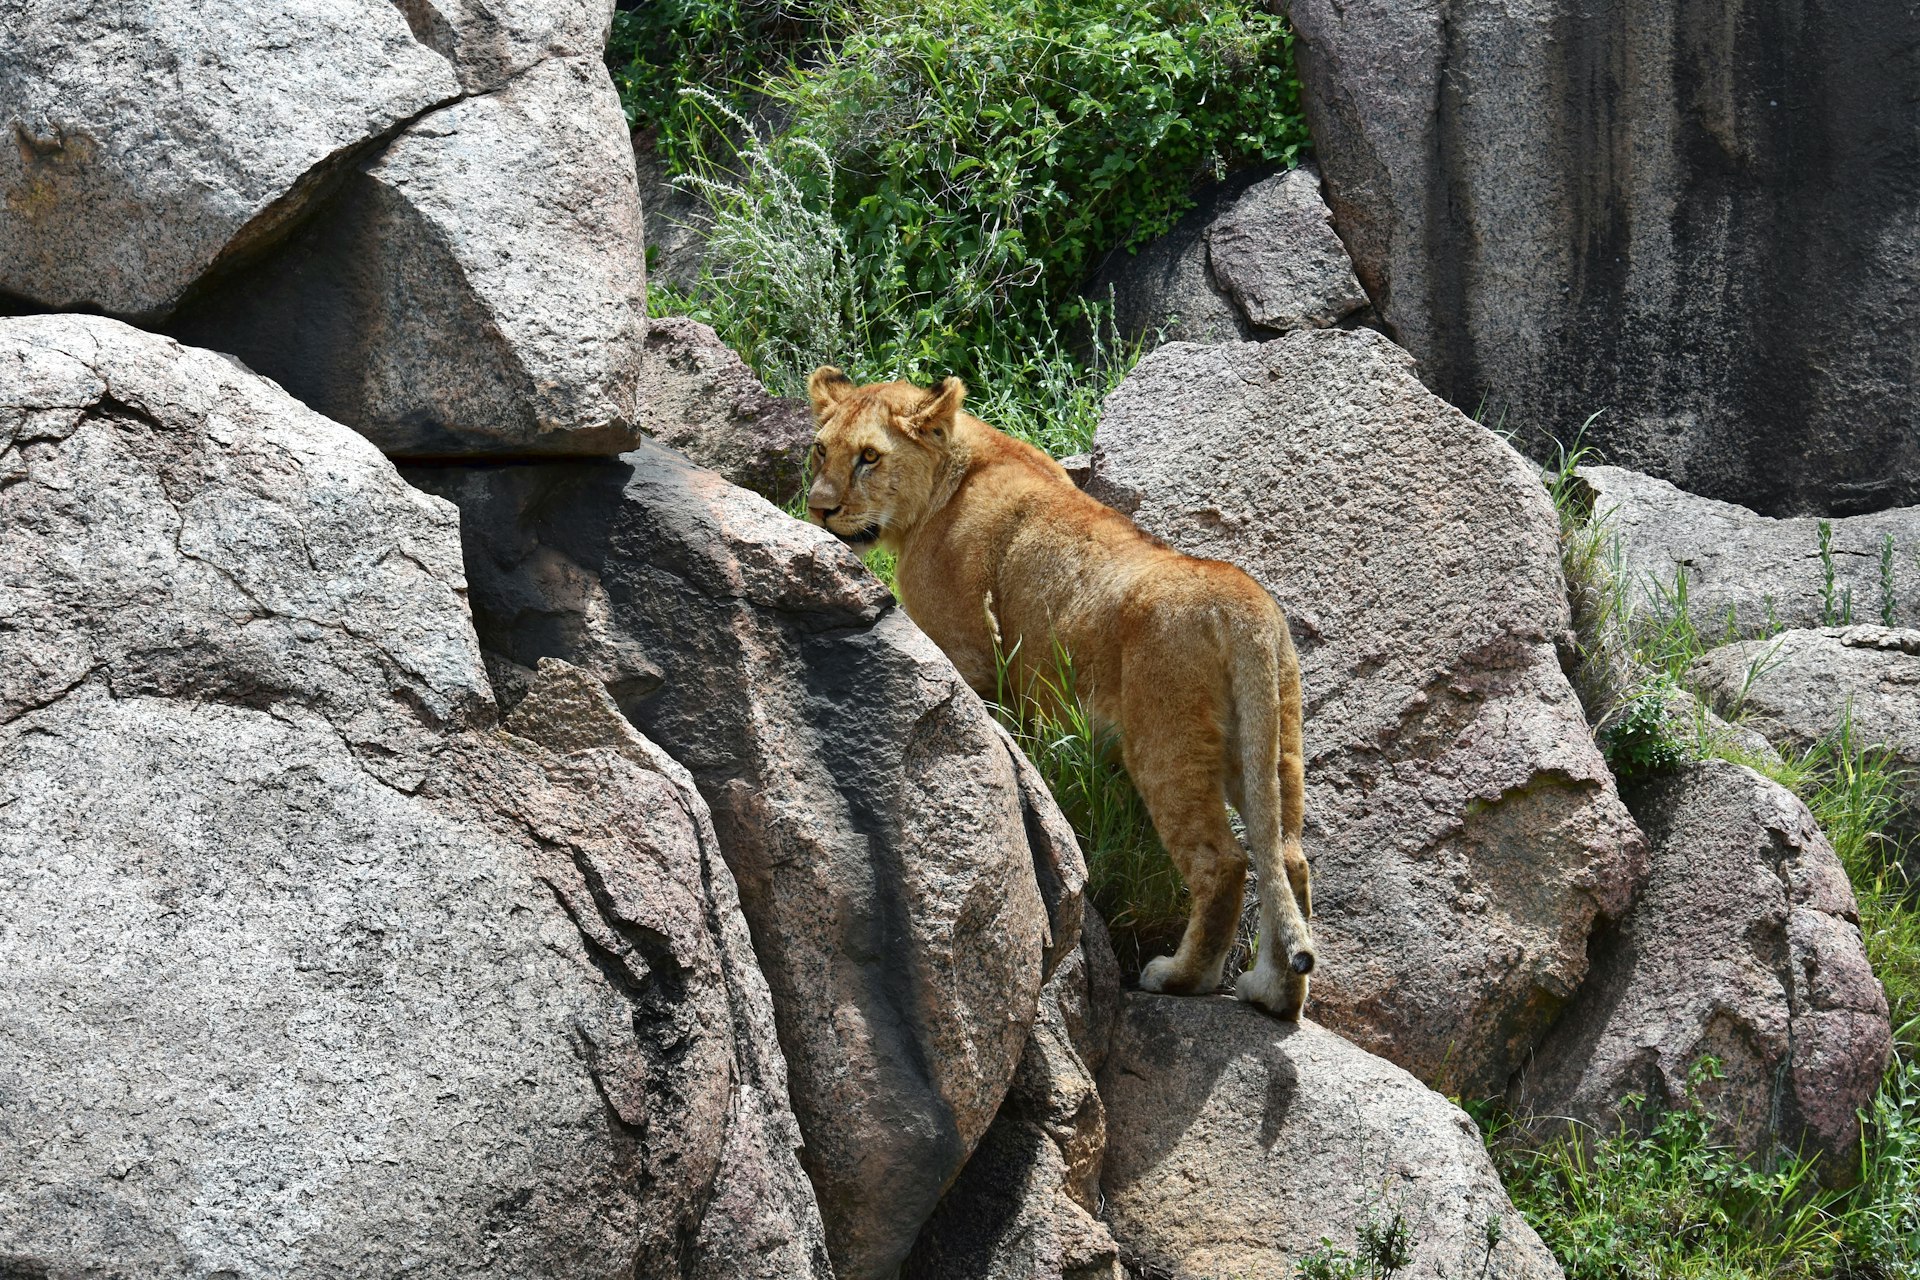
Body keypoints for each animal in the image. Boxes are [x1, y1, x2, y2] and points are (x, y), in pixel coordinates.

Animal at [803, 366, 1316, 1017]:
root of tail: (1244, 606)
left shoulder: (967, 651)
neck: (953, 473)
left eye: (869, 457)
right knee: (1289, 857)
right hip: (1270, 746)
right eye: (821, 450)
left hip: (1166, 741)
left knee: (1222, 864)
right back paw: (1274, 993)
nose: (819, 510)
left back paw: (1181, 978)